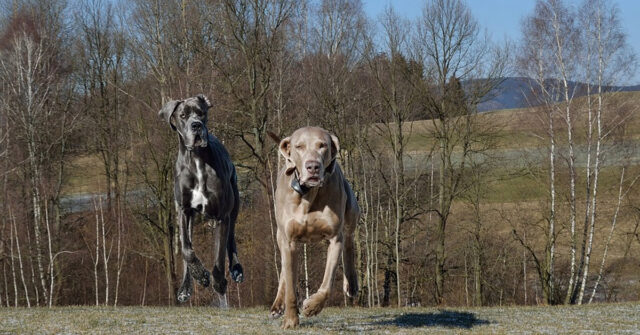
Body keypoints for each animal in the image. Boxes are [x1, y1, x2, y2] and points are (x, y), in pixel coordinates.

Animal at [159, 94, 244, 304]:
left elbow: (219, 256)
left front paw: (219, 282)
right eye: (182, 115)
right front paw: (201, 275)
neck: (197, 160)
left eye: (201, 113)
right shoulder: (183, 211)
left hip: (234, 205)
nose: (196, 125)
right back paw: (185, 288)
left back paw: (236, 269)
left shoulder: (222, 216)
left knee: (230, 238)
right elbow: (186, 251)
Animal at [268, 127, 360, 330]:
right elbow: (290, 285)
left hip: (352, 209)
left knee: (349, 241)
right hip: (280, 235)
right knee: (284, 270)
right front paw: (291, 320)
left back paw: (351, 284)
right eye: (299, 146)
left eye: (322, 145)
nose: (313, 166)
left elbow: (328, 283)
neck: (308, 194)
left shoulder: (335, 238)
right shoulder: (289, 240)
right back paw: (277, 305)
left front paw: (312, 307)